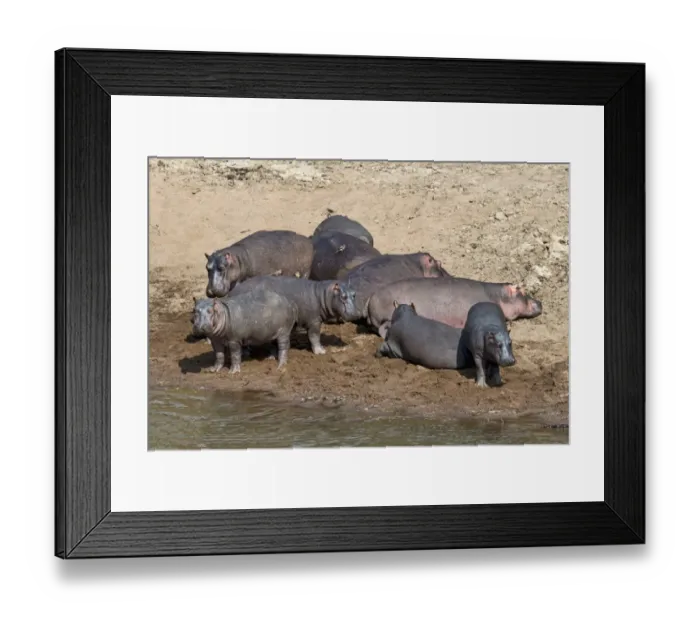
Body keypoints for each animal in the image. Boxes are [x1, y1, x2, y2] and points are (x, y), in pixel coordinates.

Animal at [226, 275, 361, 355]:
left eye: (354, 294)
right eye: (343, 296)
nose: (357, 314)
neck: (323, 294)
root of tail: (232, 292)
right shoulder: (314, 321)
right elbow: (314, 336)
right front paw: (321, 351)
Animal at [367, 277, 542, 337]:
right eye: (522, 290)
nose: (540, 302)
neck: (497, 295)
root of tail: (370, 297)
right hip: (387, 316)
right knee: (382, 328)